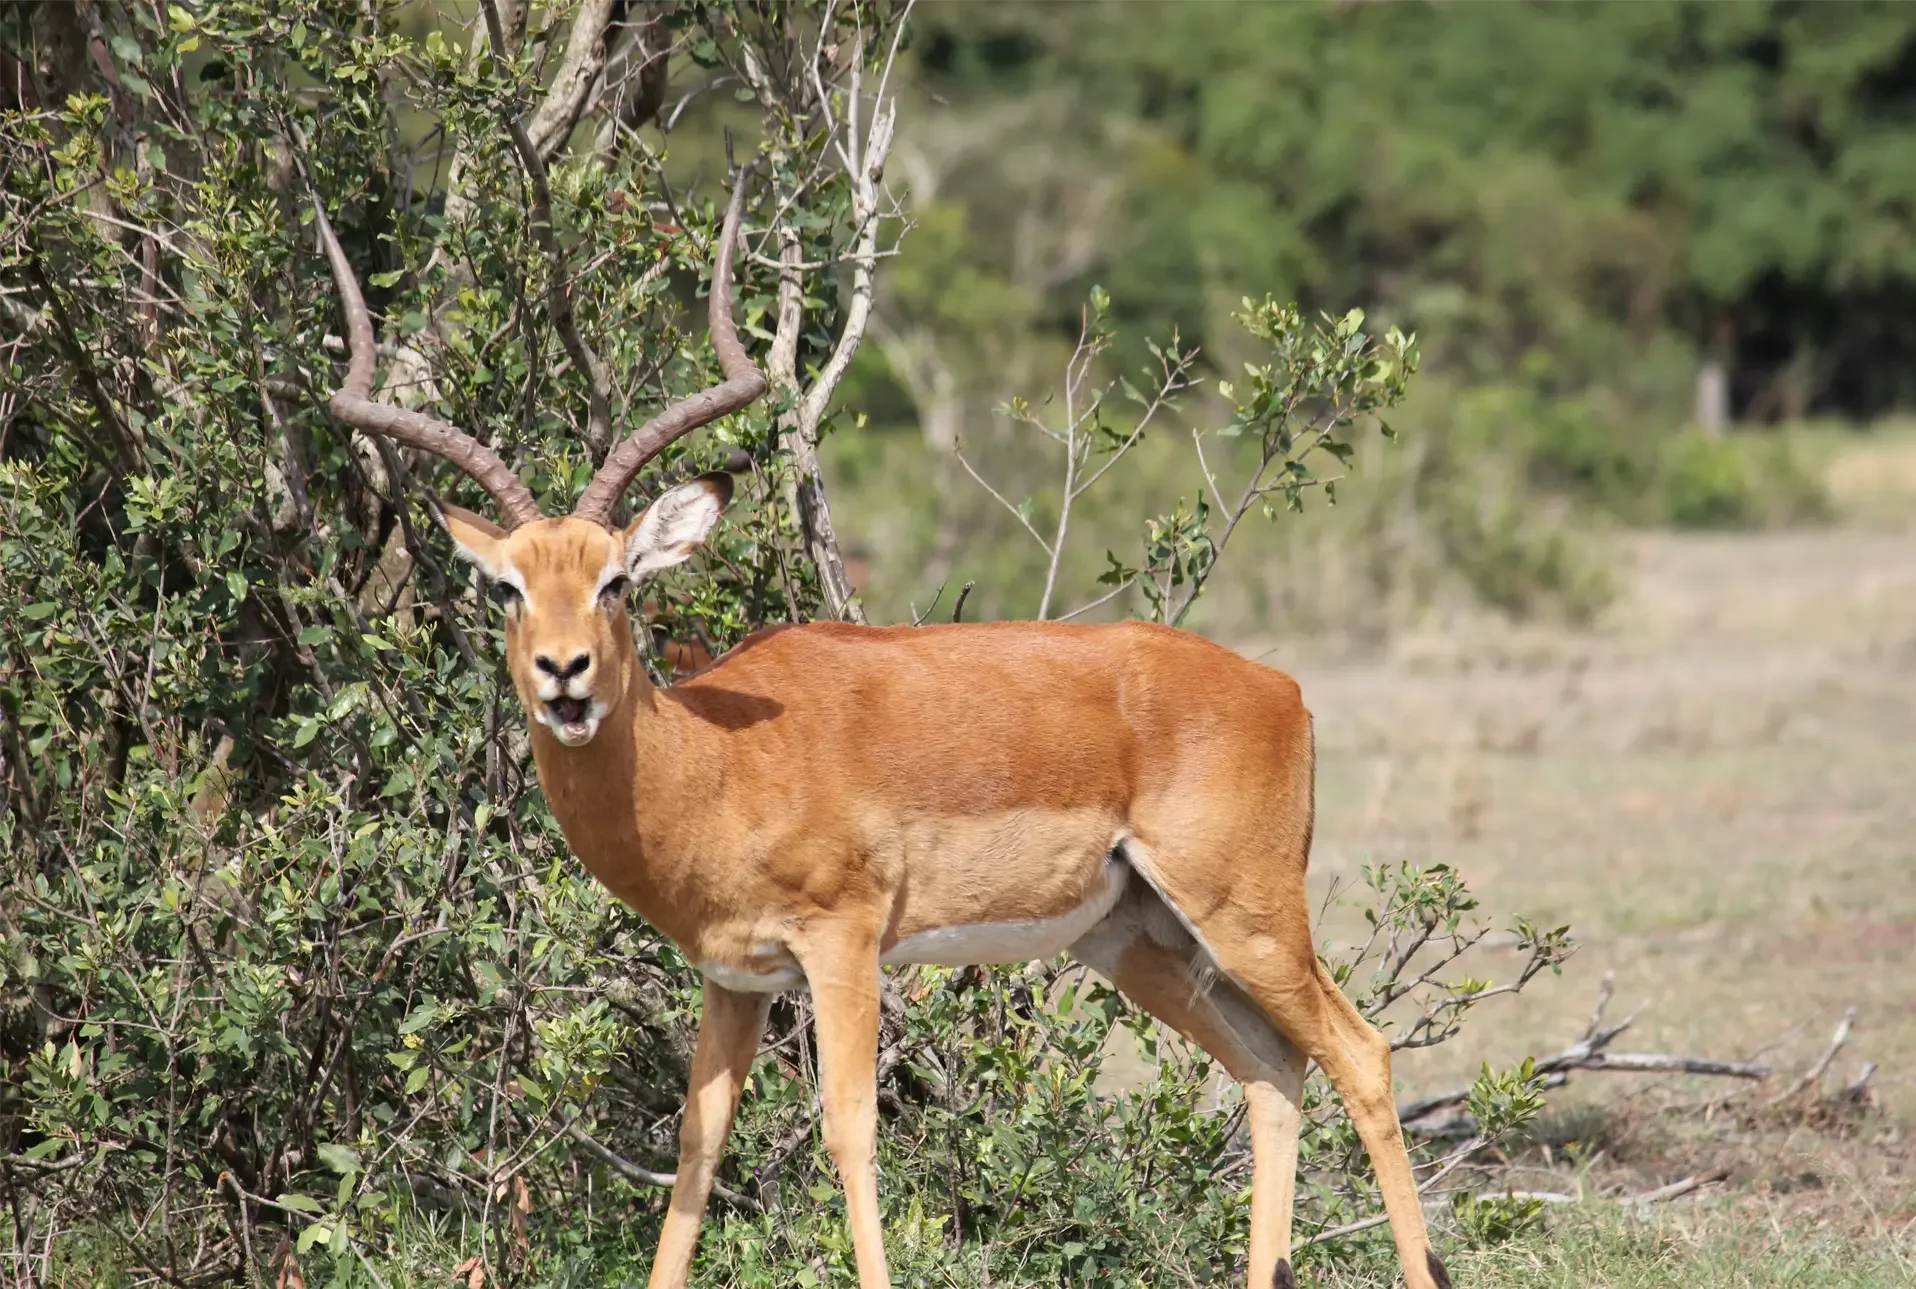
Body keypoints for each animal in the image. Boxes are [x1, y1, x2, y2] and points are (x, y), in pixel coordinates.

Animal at [312, 180, 1453, 1289]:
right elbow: (696, 1146)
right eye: (507, 587)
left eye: (617, 580)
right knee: (1272, 1068)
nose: (564, 673)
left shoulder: (843, 942)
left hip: (1246, 912)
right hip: (1137, 939)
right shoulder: (732, 977)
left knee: (1361, 1054)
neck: (717, 760)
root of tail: (1282, 688)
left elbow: (850, 1131)